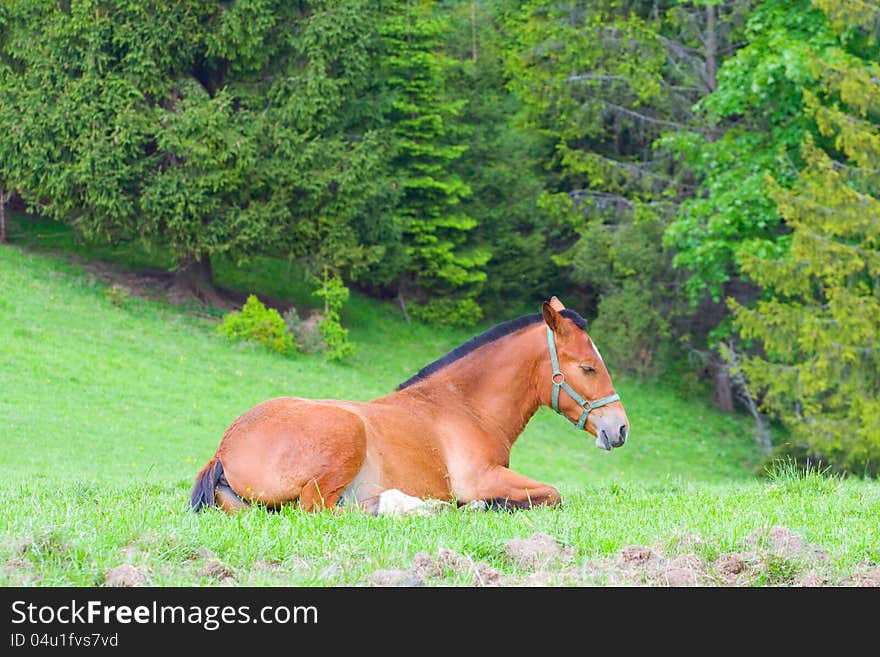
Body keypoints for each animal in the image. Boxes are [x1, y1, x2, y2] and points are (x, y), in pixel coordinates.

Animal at [192, 294, 628, 516]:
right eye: (588, 367)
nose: (620, 428)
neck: (463, 406)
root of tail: (224, 449)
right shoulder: (483, 478)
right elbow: (552, 494)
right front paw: (480, 506)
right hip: (344, 441)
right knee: (322, 511)